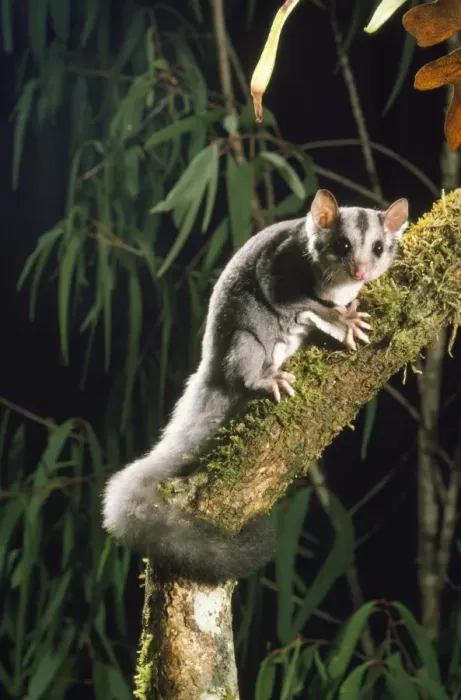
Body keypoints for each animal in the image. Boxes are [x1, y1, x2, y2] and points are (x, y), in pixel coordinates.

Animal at [102, 189, 409, 582]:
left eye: (378, 247)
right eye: (342, 245)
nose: (360, 271)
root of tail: (209, 372)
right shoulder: (281, 265)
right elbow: (296, 299)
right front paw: (343, 320)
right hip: (242, 344)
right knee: (244, 357)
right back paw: (266, 377)